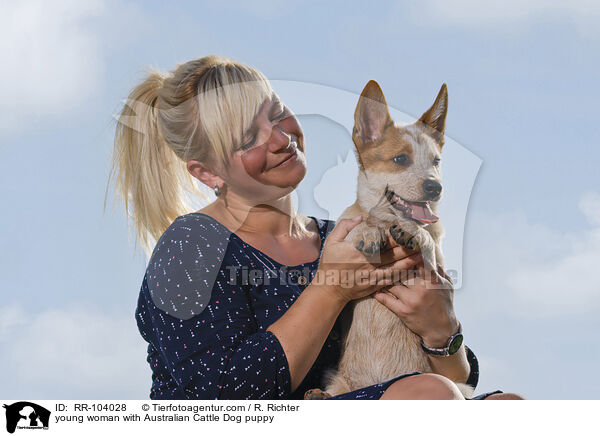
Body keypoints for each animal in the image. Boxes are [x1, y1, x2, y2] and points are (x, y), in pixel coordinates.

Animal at [304, 80, 474, 400]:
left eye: (436, 161)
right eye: (400, 159)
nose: (435, 187)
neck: (387, 221)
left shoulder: (434, 262)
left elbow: (427, 236)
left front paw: (413, 232)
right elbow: (359, 225)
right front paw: (368, 232)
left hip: (459, 387)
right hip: (337, 380)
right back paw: (318, 395)